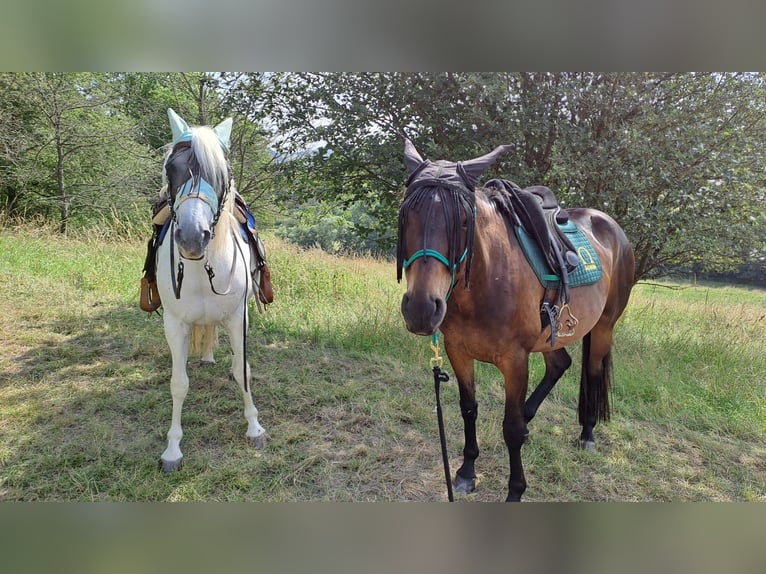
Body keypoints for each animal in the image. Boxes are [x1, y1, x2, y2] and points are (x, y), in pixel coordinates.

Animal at [154, 108, 268, 472]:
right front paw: (172, 448)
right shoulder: (174, 324)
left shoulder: (238, 318)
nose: (193, 237)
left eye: (220, 175)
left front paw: (254, 428)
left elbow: (242, 370)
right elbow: (178, 384)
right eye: (171, 169)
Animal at [396, 138, 636, 500]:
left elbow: (510, 429)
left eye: (463, 222)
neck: (489, 280)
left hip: (603, 328)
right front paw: (466, 472)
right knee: (560, 364)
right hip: (553, 333)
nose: (422, 308)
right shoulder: (458, 351)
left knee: (592, 373)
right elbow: (469, 409)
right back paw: (530, 417)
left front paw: (515, 490)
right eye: (407, 215)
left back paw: (587, 434)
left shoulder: (515, 360)